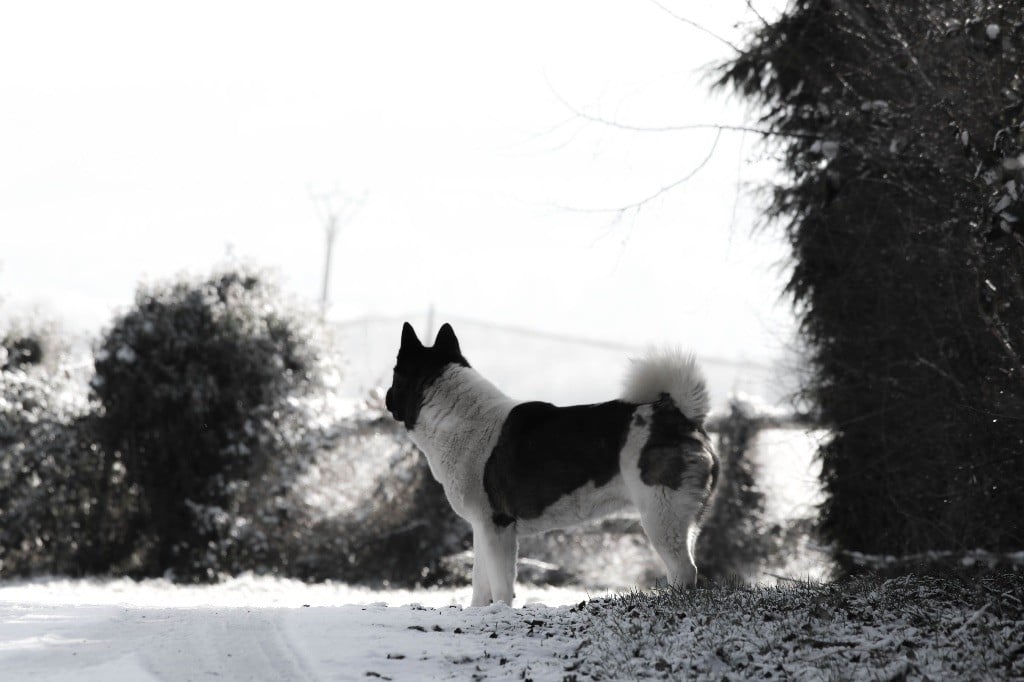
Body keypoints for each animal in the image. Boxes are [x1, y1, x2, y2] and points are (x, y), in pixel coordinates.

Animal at [385, 322, 718, 606]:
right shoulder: (483, 529)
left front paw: (501, 613)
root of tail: (681, 415)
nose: (386, 397)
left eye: (395, 374)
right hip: (683, 520)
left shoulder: (498, 526)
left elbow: (501, 585)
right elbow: (480, 583)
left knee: (684, 570)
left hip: (662, 516)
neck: (456, 414)